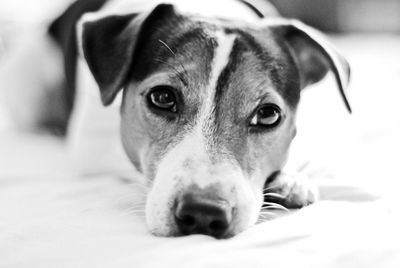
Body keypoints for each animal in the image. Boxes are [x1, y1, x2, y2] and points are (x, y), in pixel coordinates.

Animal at [0, 0, 350, 239]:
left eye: (267, 115)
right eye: (163, 97)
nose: (204, 214)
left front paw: (292, 179)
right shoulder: (91, 147)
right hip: (26, 86)